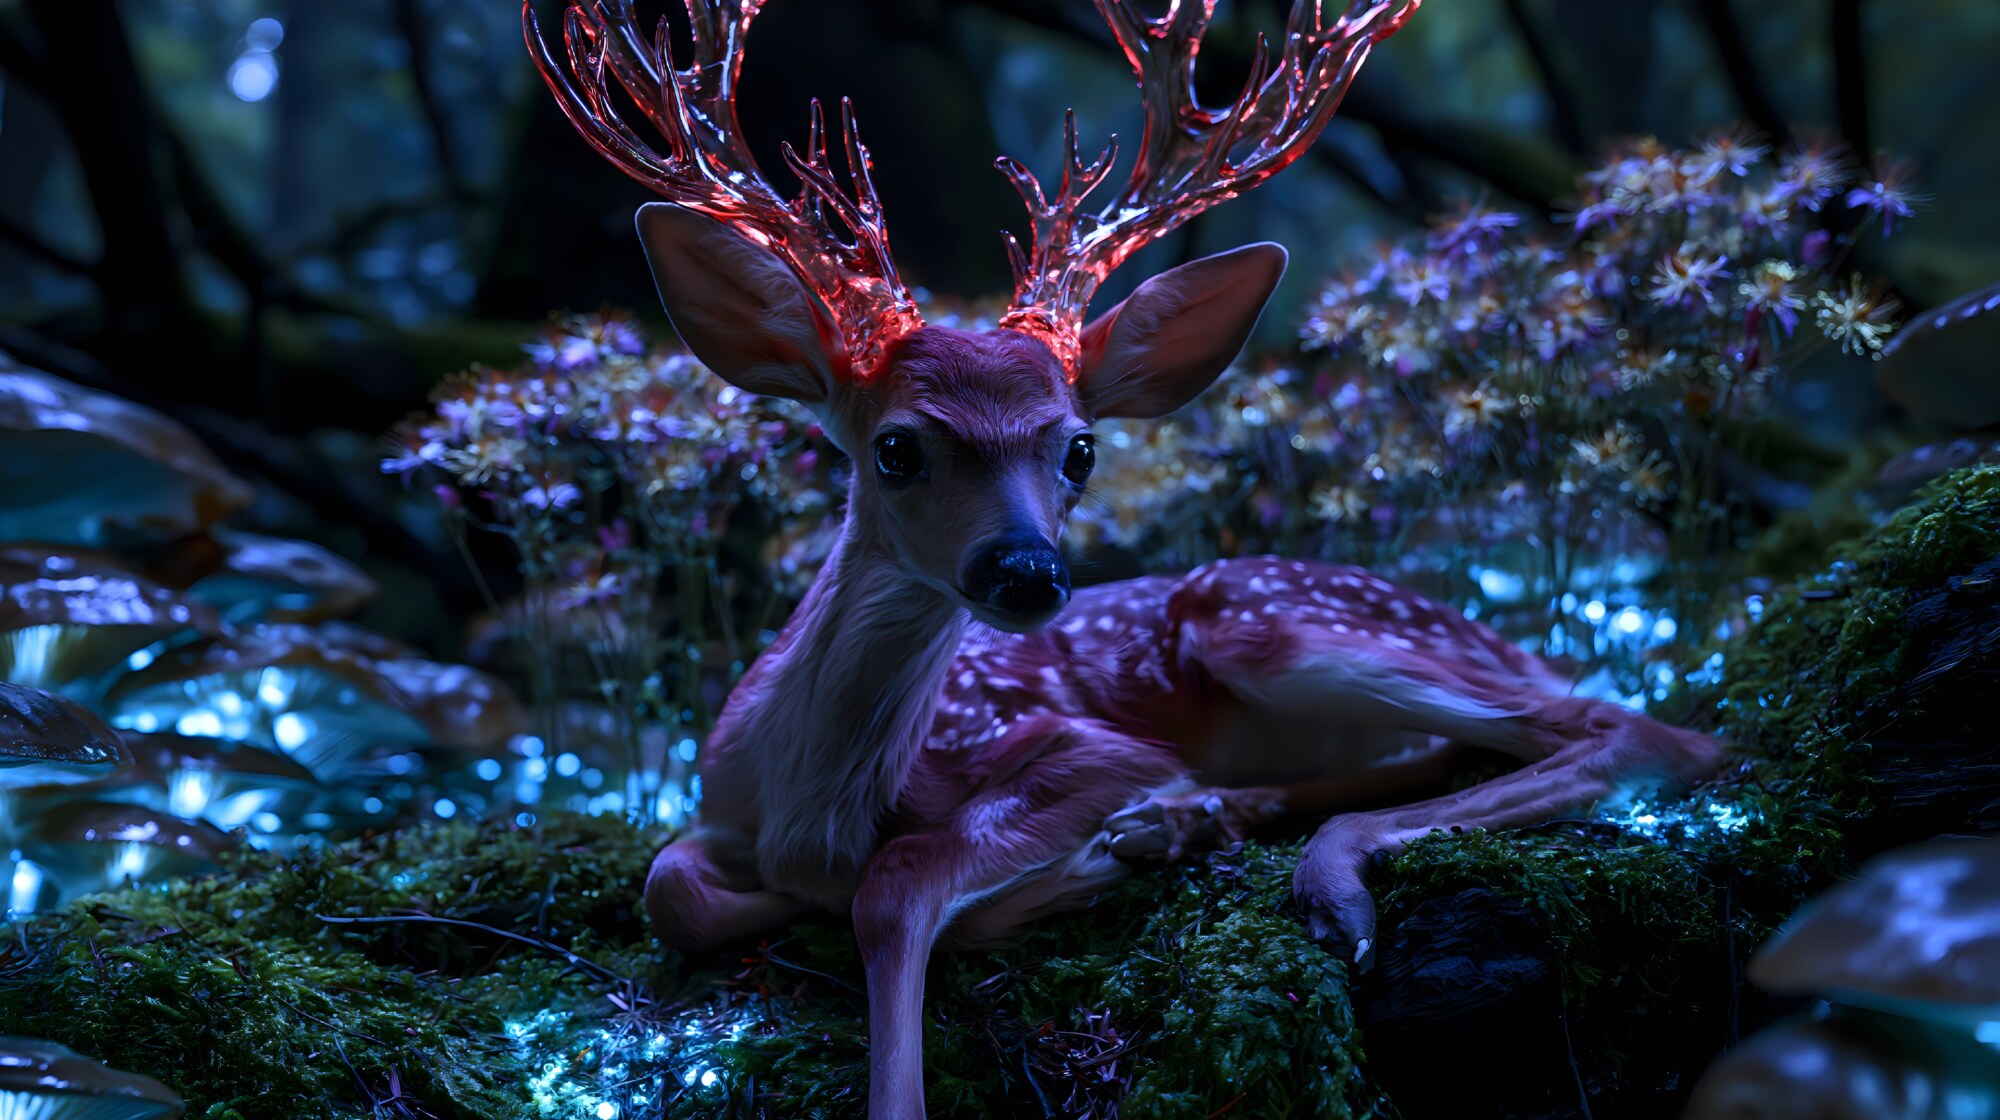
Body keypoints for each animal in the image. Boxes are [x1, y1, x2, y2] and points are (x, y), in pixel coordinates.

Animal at [525, 1, 1726, 1116]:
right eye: (895, 447)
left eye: (1079, 449)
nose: (1027, 572)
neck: (811, 800)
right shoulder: (712, 809)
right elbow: (668, 882)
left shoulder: (1076, 741)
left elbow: (895, 881)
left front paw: (1053, 868)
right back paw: (1187, 824)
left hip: (1276, 625)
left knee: (1649, 731)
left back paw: (1269, 859)